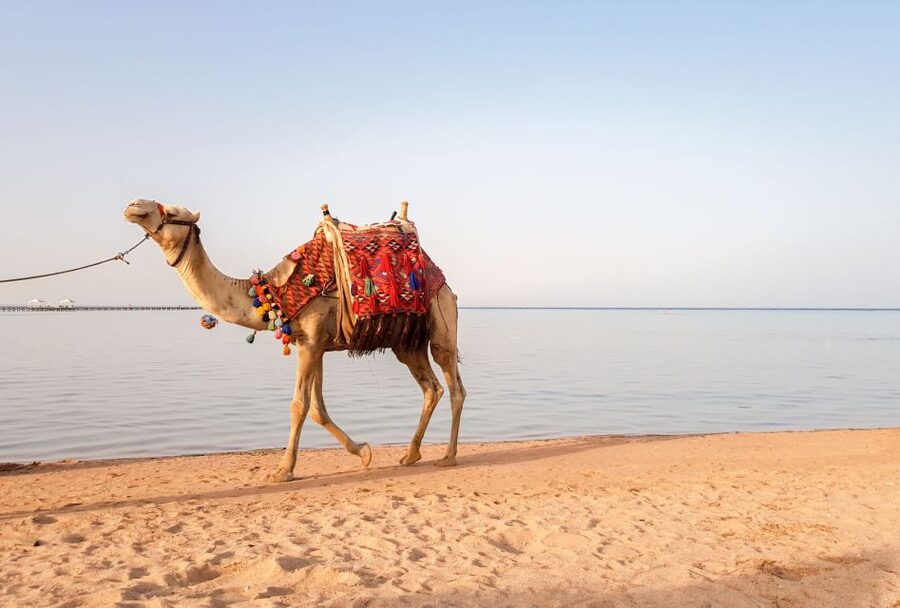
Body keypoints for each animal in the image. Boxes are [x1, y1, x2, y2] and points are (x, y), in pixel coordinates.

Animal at [123, 199, 466, 483]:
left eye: (172, 211)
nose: (133, 205)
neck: (274, 292)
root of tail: (443, 281)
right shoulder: (312, 344)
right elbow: (316, 408)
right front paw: (364, 452)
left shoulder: (312, 341)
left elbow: (298, 405)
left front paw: (282, 471)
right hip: (406, 344)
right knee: (431, 388)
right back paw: (411, 454)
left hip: (441, 319)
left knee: (453, 385)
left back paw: (448, 457)